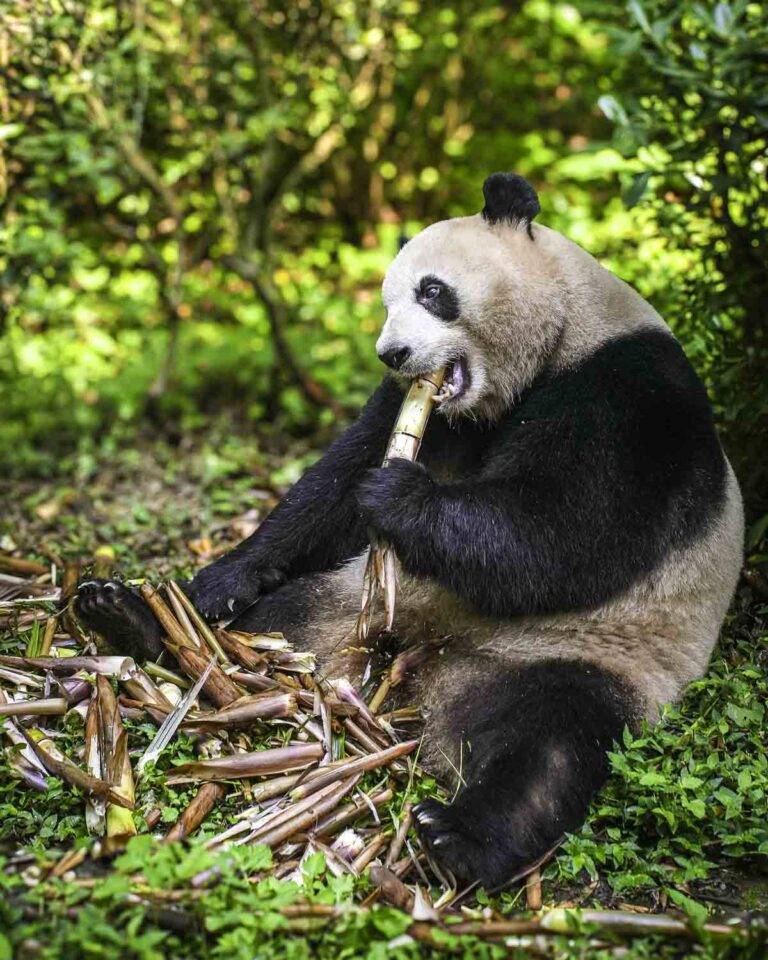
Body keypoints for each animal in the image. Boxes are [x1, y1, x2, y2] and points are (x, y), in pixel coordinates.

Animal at [77, 173, 744, 889]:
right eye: (387, 303)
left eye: (432, 291)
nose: (392, 352)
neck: (559, 339)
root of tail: (424, 674)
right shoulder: (427, 409)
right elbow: (333, 489)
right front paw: (222, 579)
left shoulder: (629, 396)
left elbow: (566, 531)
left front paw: (398, 495)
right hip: (337, 609)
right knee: (265, 631)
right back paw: (139, 624)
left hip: (590, 653)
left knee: (554, 738)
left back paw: (458, 837)